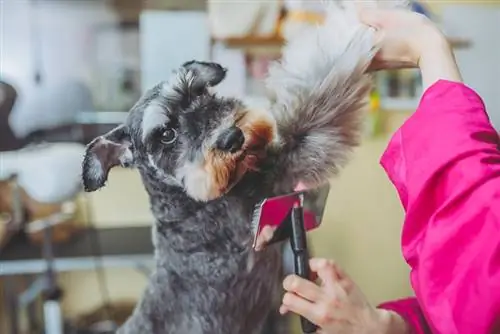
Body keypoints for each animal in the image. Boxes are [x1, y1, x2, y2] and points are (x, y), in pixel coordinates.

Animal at [81, 1, 406, 332]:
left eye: (201, 92)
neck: (187, 204)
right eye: (166, 134)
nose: (233, 137)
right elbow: (315, 102)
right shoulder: (277, 173)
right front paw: (348, 32)